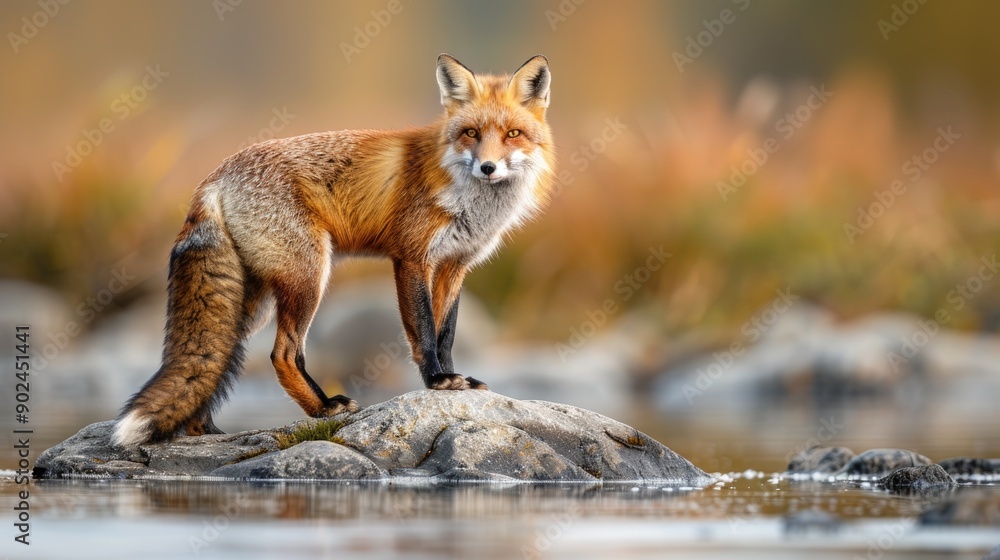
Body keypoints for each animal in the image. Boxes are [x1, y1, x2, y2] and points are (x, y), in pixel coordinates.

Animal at [112, 54, 556, 446]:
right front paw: (436, 381)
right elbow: (425, 332)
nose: (487, 168)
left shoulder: (454, 264)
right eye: (471, 134)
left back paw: (202, 428)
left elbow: (446, 334)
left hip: (249, 303)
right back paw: (323, 408)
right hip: (308, 276)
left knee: (217, 357)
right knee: (282, 354)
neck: (469, 200)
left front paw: (454, 380)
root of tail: (214, 177)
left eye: (513, 134)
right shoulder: (412, 258)